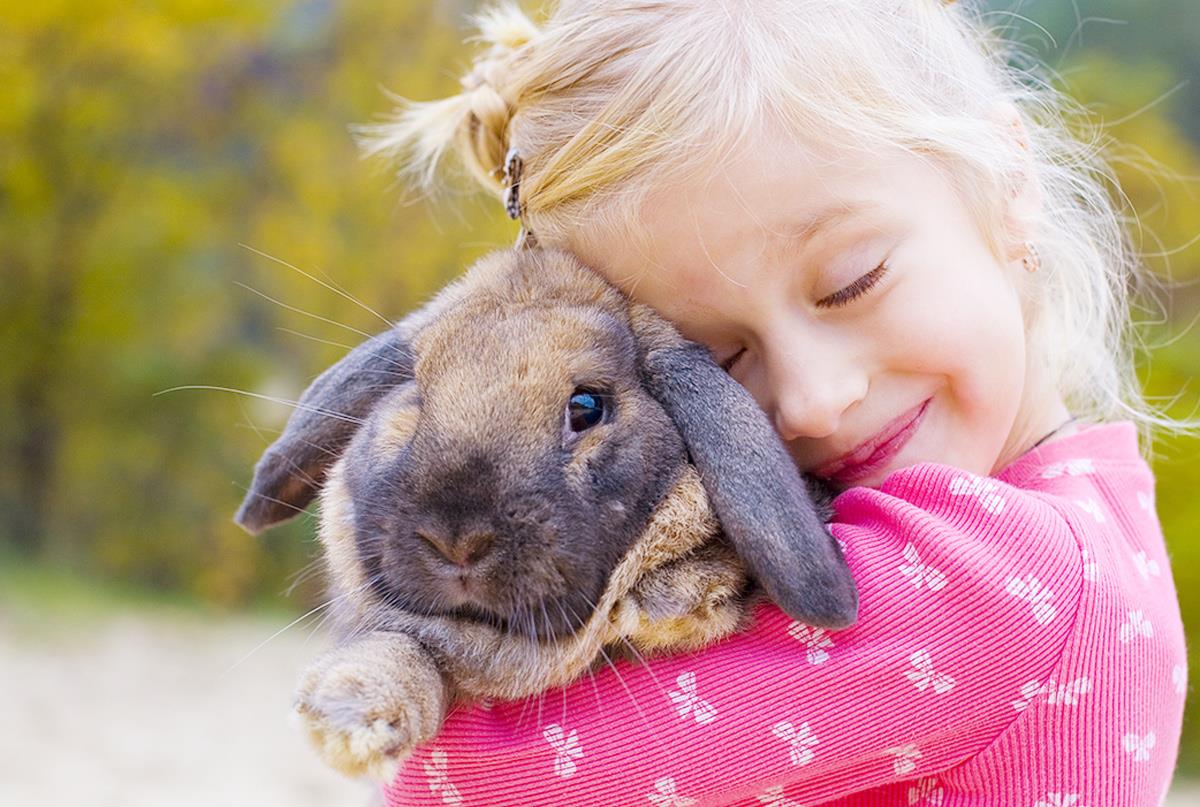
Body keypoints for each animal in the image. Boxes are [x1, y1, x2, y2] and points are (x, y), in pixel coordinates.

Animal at [234, 247, 854, 782]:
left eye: (587, 406)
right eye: (415, 396)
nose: (456, 541)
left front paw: (679, 594)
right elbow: (405, 648)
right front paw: (350, 714)